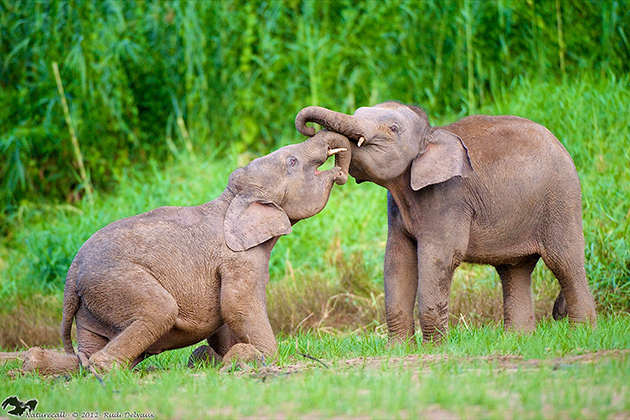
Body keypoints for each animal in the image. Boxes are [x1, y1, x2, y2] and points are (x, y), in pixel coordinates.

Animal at [1, 130, 350, 374]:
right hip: (114, 281)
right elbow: (239, 306)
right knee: (159, 311)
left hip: (91, 304)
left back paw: (39, 364)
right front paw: (260, 357)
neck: (229, 200)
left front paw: (218, 357)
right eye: (292, 162)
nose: (341, 171)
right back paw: (106, 369)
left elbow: (225, 318)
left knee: (89, 349)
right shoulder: (238, 259)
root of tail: (71, 275)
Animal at [296, 102, 596, 344]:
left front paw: (434, 348)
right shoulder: (395, 208)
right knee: (514, 270)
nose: (312, 131)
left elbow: (438, 257)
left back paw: (581, 334)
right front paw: (398, 350)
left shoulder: (449, 197)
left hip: (561, 198)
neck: (432, 133)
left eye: (393, 128)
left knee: (564, 262)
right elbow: (397, 259)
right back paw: (518, 340)